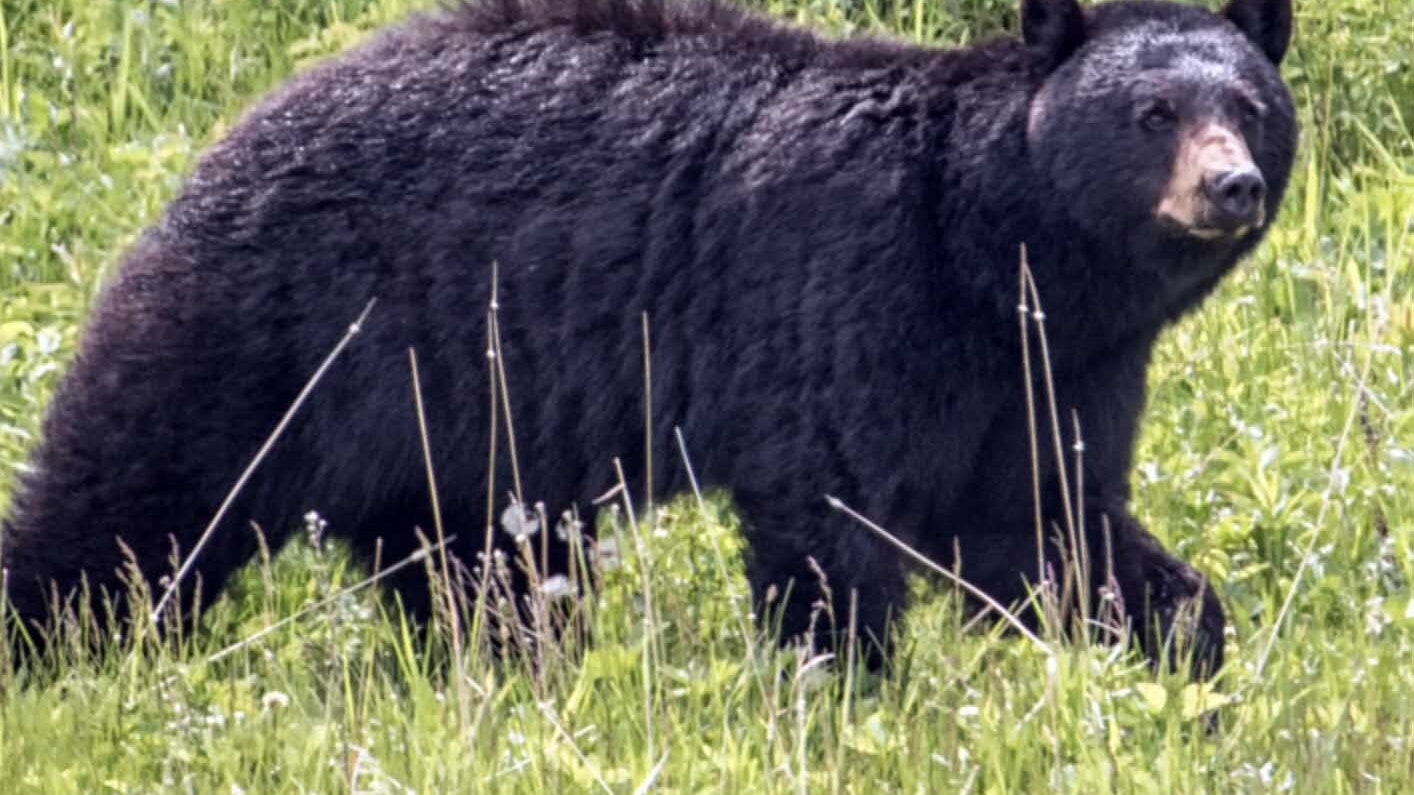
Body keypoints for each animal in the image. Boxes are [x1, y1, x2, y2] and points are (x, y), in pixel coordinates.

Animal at [0, 0, 1295, 676]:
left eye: (1251, 108)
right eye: (1153, 112)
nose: (1228, 186)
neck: (994, 245)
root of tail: (234, 130)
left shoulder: (1051, 368)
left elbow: (1047, 517)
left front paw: (1185, 647)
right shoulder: (851, 292)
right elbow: (828, 514)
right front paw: (840, 690)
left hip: (460, 432)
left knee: (478, 570)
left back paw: (508, 669)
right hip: (272, 327)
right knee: (136, 498)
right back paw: (48, 647)